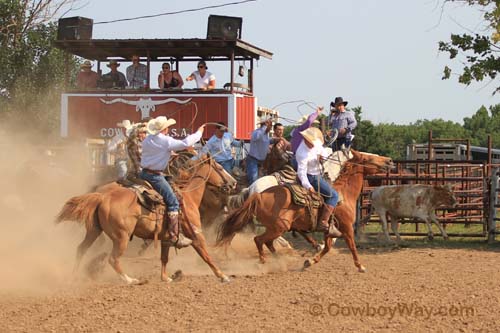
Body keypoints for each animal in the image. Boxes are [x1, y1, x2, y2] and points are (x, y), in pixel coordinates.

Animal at [57, 155, 237, 282]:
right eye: (220, 167)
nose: (234, 183)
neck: (189, 197)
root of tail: (103, 197)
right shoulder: (196, 234)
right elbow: (206, 256)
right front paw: (223, 276)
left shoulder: (166, 238)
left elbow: (164, 258)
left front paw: (166, 278)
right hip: (121, 237)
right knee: (113, 259)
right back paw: (130, 280)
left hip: (94, 230)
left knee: (81, 249)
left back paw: (74, 276)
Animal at [217, 149, 392, 272]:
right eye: (368, 158)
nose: (389, 161)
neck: (344, 193)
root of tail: (258, 194)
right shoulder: (346, 227)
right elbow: (351, 246)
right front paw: (360, 266)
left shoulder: (329, 230)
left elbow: (327, 247)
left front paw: (309, 261)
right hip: (279, 227)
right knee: (259, 240)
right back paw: (265, 260)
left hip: (275, 227)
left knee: (264, 241)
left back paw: (278, 259)